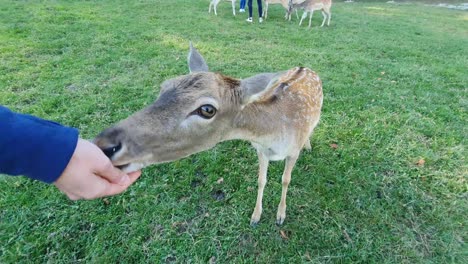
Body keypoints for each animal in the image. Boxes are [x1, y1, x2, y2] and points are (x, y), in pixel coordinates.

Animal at [93, 43, 324, 225]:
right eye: (164, 86)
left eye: (207, 109)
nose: (106, 145)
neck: (272, 136)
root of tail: (305, 67)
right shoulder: (260, 150)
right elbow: (261, 180)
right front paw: (255, 217)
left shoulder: (292, 152)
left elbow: (285, 180)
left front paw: (280, 216)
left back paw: (308, 144)